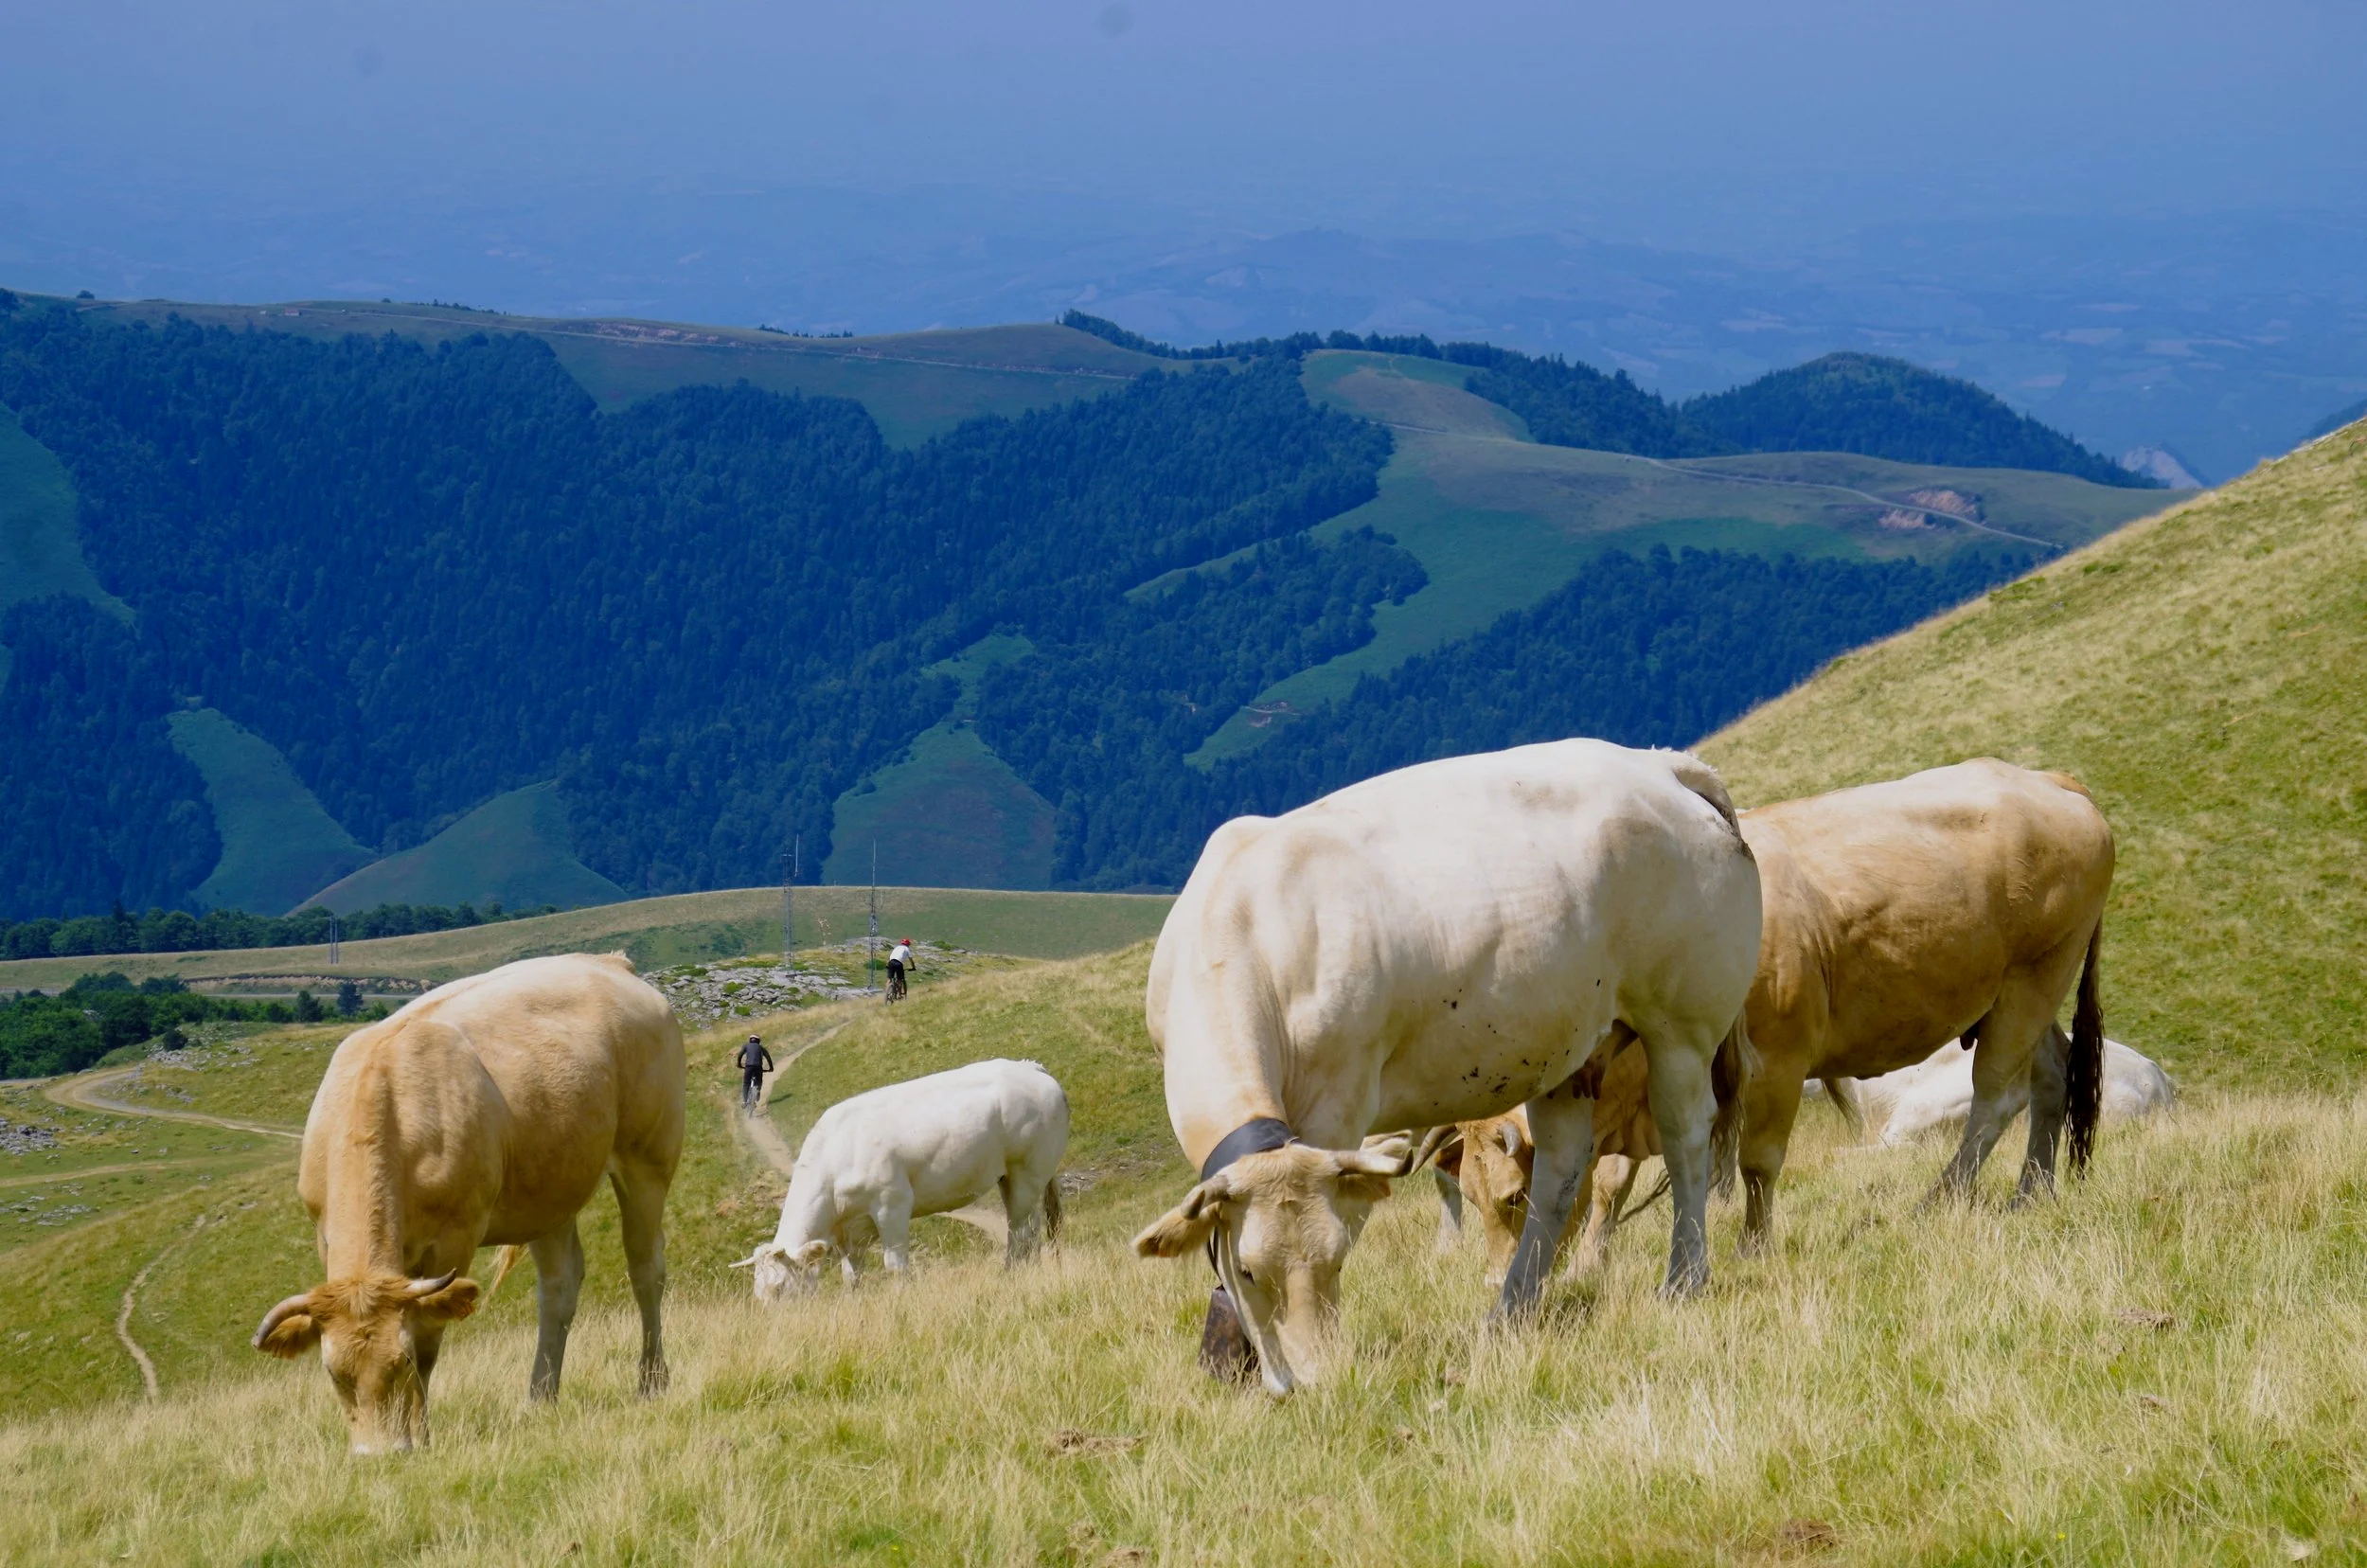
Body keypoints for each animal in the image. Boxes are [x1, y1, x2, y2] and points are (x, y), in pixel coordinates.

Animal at [250, 952, 685, 1454]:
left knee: (646, 1269)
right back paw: (540, 1399)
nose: (379, 1456)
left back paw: (652, 1382)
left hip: (647, 1160)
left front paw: (420, 1435)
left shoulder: (453, 1239)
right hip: (551, 1186)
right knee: (559, 1286)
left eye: (400, 1364)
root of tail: (611, 963)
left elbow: (428, 1341)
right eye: (334, 1374)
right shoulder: (326, 1238)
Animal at [734, 1058, 1068, 1300]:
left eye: (779, 1287)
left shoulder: (891, 1204)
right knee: (1027, 1228)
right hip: (1010, 1177)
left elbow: (894, 1266)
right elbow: (851, 1276)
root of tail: (1031, 1067)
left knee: (1021, 1232)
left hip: (1028, 1170)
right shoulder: (849, 1233)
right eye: (757, 1292)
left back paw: (1010, 1274)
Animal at [1131, 739, 1763, 1395]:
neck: (1245, 933)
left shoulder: (1339, 1105)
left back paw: (1683, 1278)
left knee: (1686, 1139)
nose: (1315, 1382)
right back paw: (1510, 1310)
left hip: (1682, 1026)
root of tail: (1661, 767)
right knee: (1561, 1171)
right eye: (1249, 1271)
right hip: (1572, 1051)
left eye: (1338, 1257)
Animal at [1732, 759, 2114, 1250]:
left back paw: (1936, 1202)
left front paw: (1752, 1250)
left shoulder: (1777, 1052)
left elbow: (1757, 1162)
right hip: (2024, 988)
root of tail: (2049, 780)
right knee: (2052, 1074)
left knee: (1999, 1097)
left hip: (2036, 978)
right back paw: (2029, 1197)